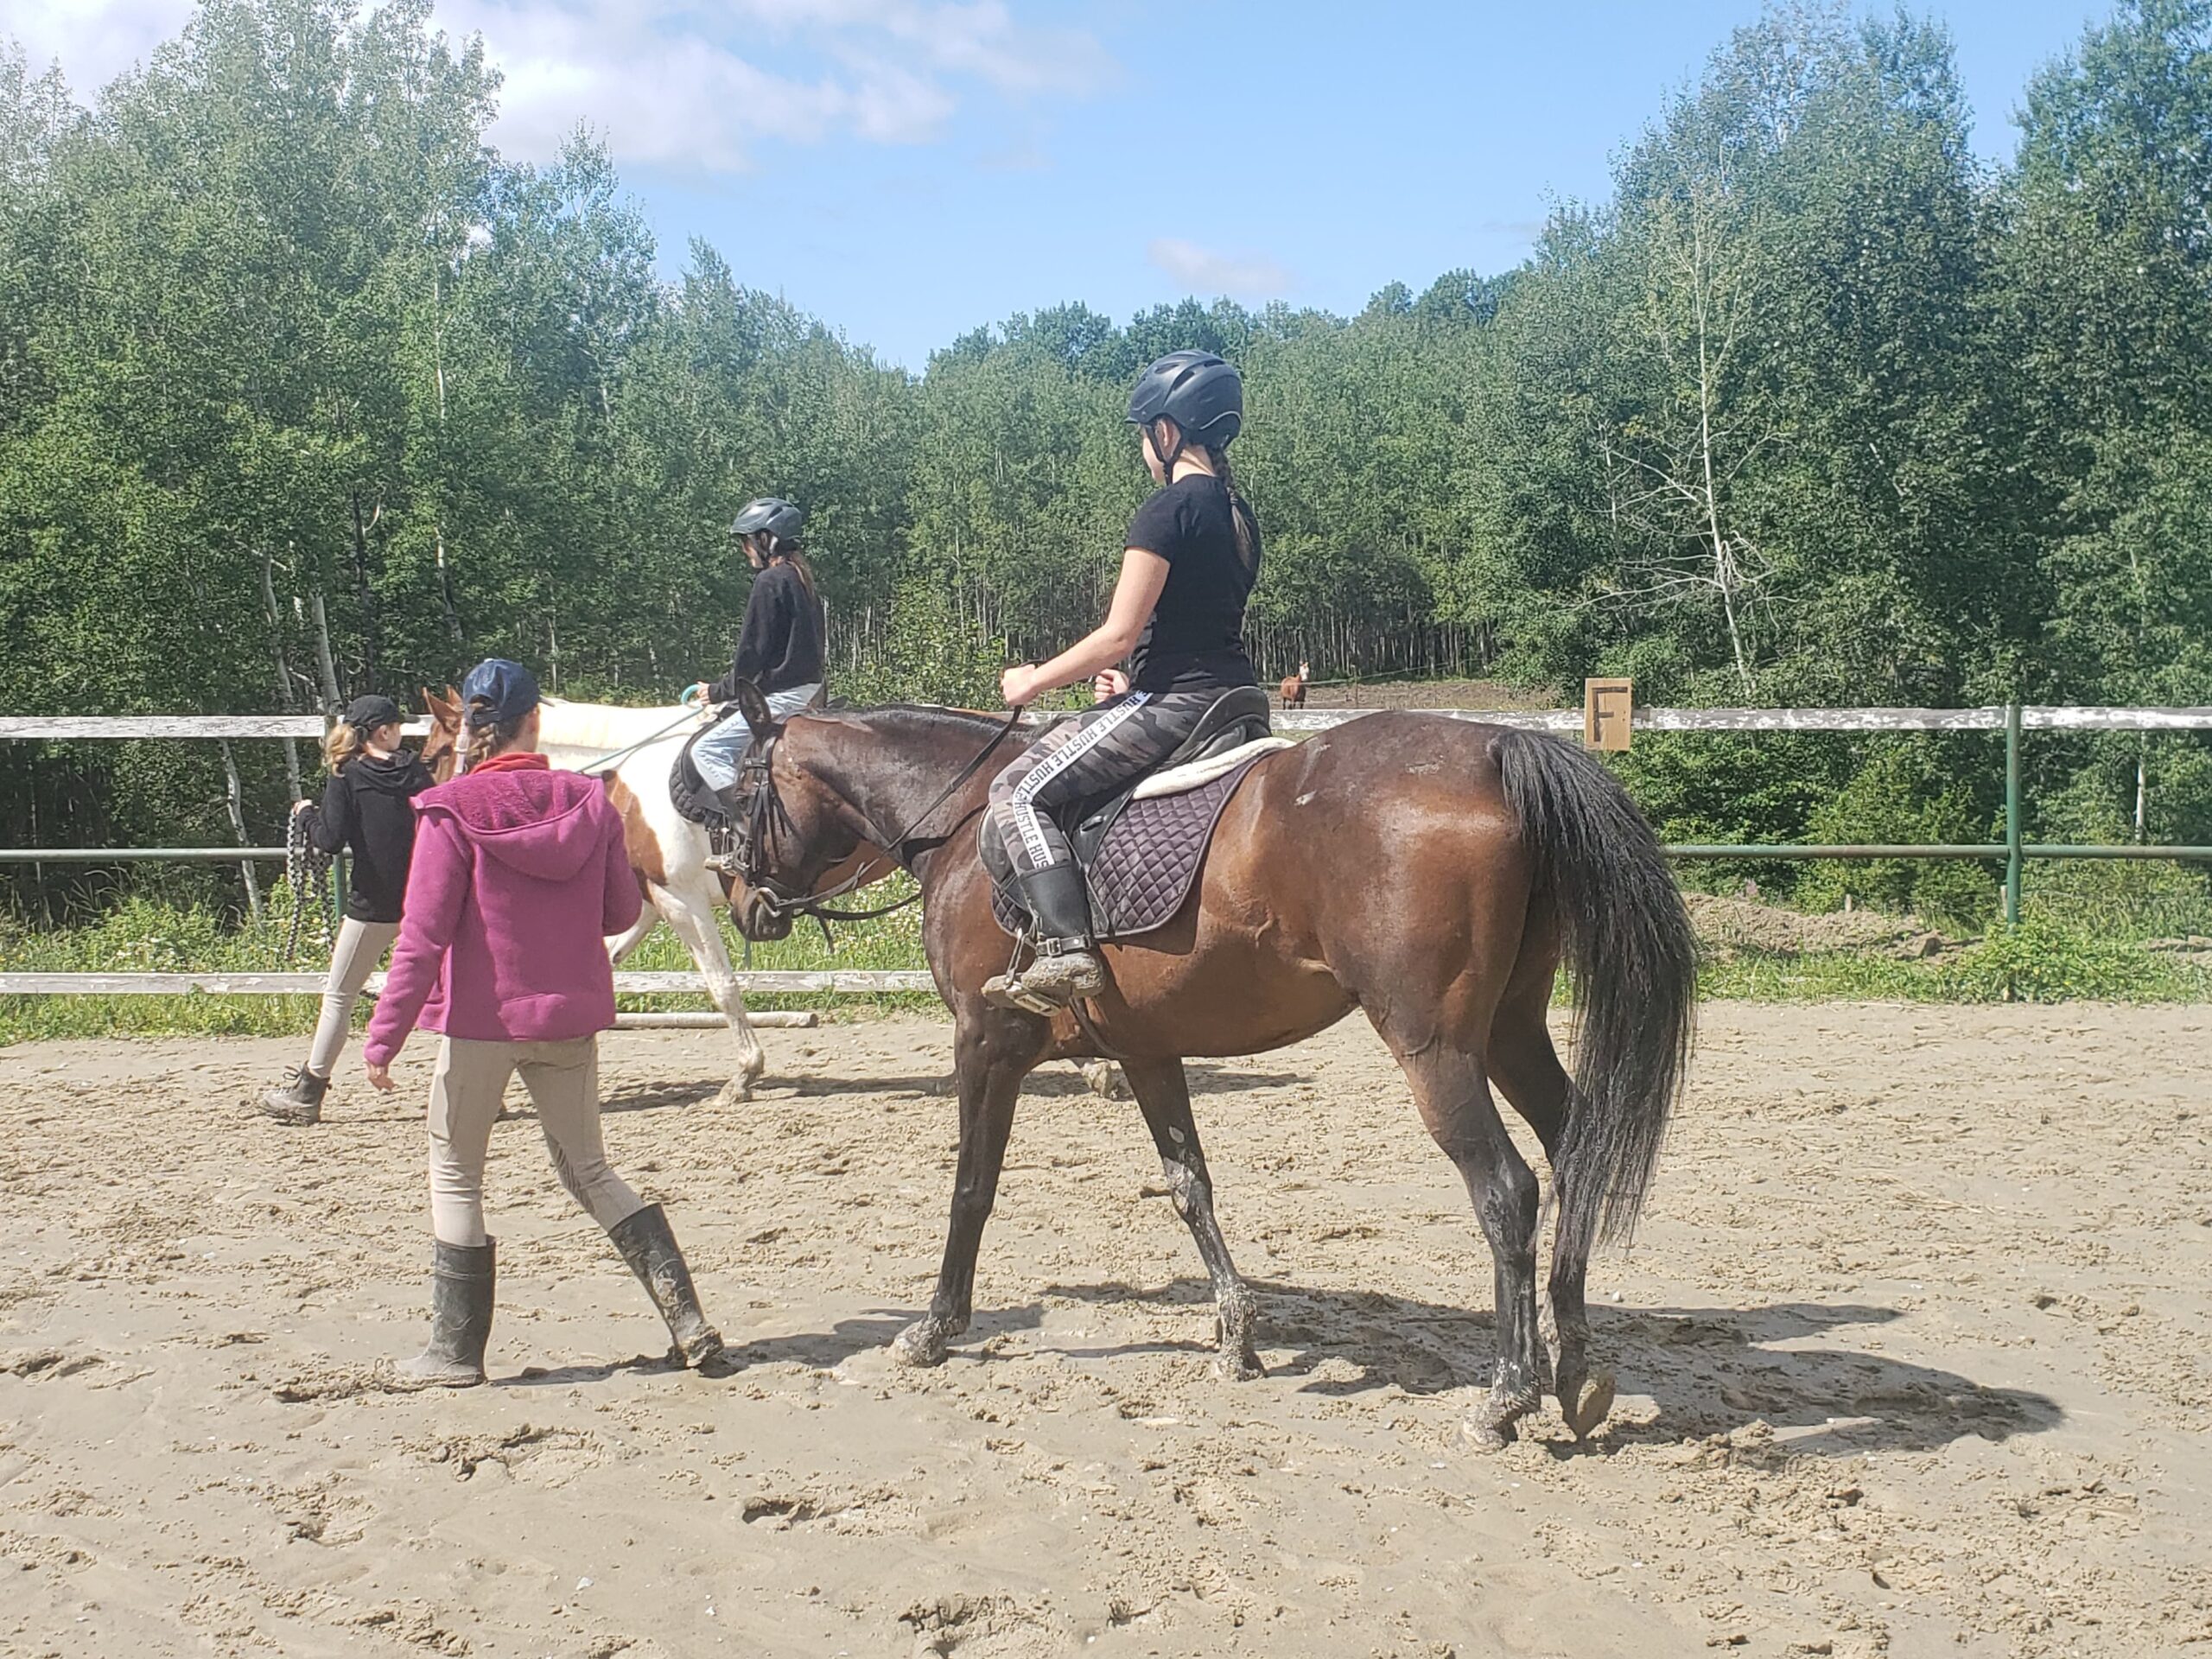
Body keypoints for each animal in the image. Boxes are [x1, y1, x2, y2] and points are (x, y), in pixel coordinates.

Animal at [720, 683, 1697, 1448]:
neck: (961, 829)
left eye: (737, 791)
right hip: (1508, 1030)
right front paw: (1235, 1336)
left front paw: (933, 1328)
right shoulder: (1147, 1050)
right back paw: (1576, 1370)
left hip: (1435, 1046)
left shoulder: (984, 1042)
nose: (743, 904)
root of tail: (1496, 748)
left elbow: (972, 1188)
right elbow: (1189, 1185)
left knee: (1506, 1190)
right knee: (1576, 1153)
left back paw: (1505, 1397)